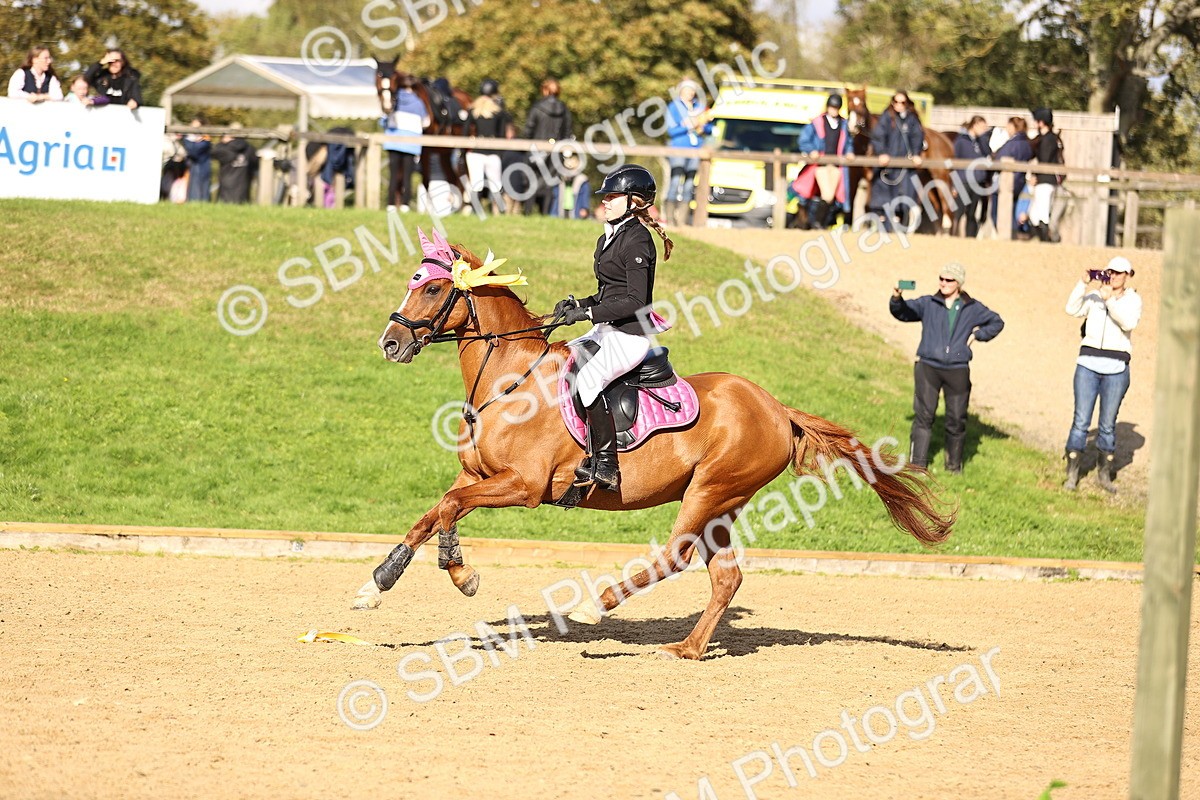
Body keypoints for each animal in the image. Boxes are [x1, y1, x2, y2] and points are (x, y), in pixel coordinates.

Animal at [352, 234, 957, 661]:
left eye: (433, 289)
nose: (390, 343)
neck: (510, 380)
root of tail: (776, 407)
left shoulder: (523, 487)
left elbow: (448, 508)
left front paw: (422, 578)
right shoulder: (477, 477)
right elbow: (437, 512)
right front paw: (403, 581)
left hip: (708, 491)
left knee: (675, 556)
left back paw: (599, 606)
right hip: (721, 504)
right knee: (725, 577)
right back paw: (687, 648)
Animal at [374, 58, 473, 207]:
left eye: (393, 80)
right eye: (378, 80)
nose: (387, 106)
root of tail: (469, 99)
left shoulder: (424, 148)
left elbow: (425, 179)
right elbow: (399, 178)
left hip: (466, 149)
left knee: (465, 174)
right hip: (444, 151)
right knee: (453, 178)